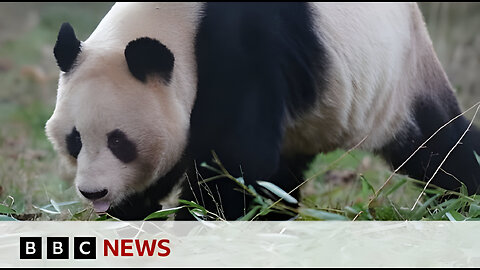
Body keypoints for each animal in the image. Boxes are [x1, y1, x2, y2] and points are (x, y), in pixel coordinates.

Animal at [45, 2, 480, 220]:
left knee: (439, 148)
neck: (176, 20)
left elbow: (235, 159)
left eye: (120, 142)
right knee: (283, 173)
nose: (93, 192)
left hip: (396, 76)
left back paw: (461, 204)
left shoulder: (243, 48)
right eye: (75, 140)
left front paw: (202, 223)